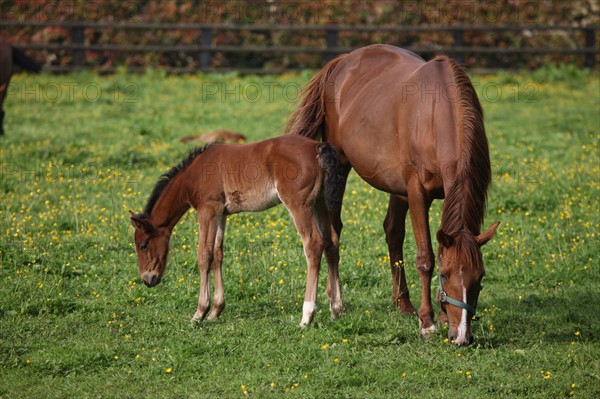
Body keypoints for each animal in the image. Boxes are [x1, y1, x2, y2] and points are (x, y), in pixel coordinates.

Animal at [131, 136, 346, 326]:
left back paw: (306, 316)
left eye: (143, 245)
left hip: (300, 205)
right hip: (320, 203)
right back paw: (336, 309)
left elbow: (204, 255)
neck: (194, 174)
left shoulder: (207, 210)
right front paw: (215, 310)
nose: (147, 280)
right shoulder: (221, 213)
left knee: (313, 245)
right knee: (331, 244)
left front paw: (199, 313)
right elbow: (217, 254)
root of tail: (318, 147)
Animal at [288, 44, 500, 346]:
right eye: (445, 275)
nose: (461, 337)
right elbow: (425, 258)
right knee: (333, 232)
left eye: (480, 277)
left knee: (392, 232)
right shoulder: (417, 192)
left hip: (396, 188)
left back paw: (403, 304)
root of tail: (343, 62)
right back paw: (335, 303)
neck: (436, 115)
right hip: (340, 167)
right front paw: (428, 323)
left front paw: (439, 317)